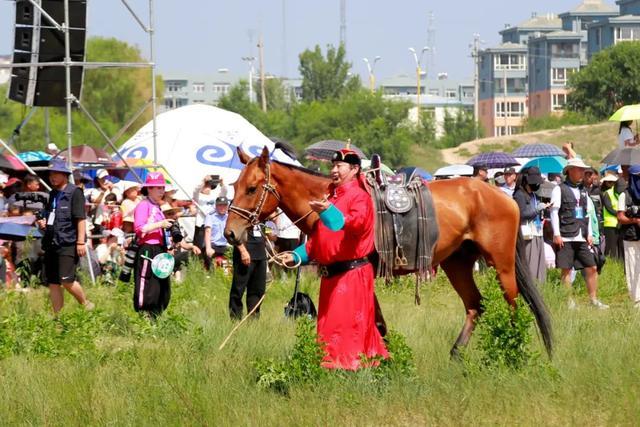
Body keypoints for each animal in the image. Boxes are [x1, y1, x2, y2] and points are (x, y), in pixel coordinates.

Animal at [222, 147, 552, 358]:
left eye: (252, 188)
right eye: (234, 185)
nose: (230, 233)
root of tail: (500, 195)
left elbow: (377, 322)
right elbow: (378, 323)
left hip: (501, 264)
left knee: (513, 305)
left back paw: (511, 351)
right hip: (457, 262)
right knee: (475, 306)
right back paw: (456, 355)